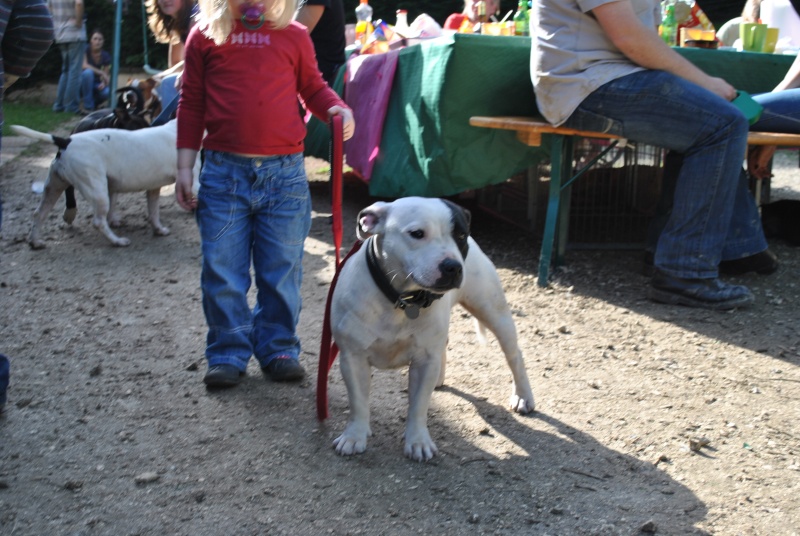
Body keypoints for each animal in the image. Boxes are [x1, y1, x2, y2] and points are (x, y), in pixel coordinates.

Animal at [10, 119, 198, 247]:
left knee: (39, 214)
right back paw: (117, 241)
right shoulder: (193, 185)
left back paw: (35, 242)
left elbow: (154, 213)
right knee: (99, 222)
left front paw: (159, 230)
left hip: (54, 188)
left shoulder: (153, 189)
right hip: (98, 192)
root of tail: (66, 141)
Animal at [328, 197, 536, 460]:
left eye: (461, 235)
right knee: (444, 346)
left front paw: (417, 441)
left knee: (514, 356)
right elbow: (358, 402)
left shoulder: (424, 361)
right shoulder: (353, 358)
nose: (453, 266)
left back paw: (523, 396)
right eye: (417, 234)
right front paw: (354, 436)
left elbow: (418, 406)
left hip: (495, 313)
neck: (401, 299)